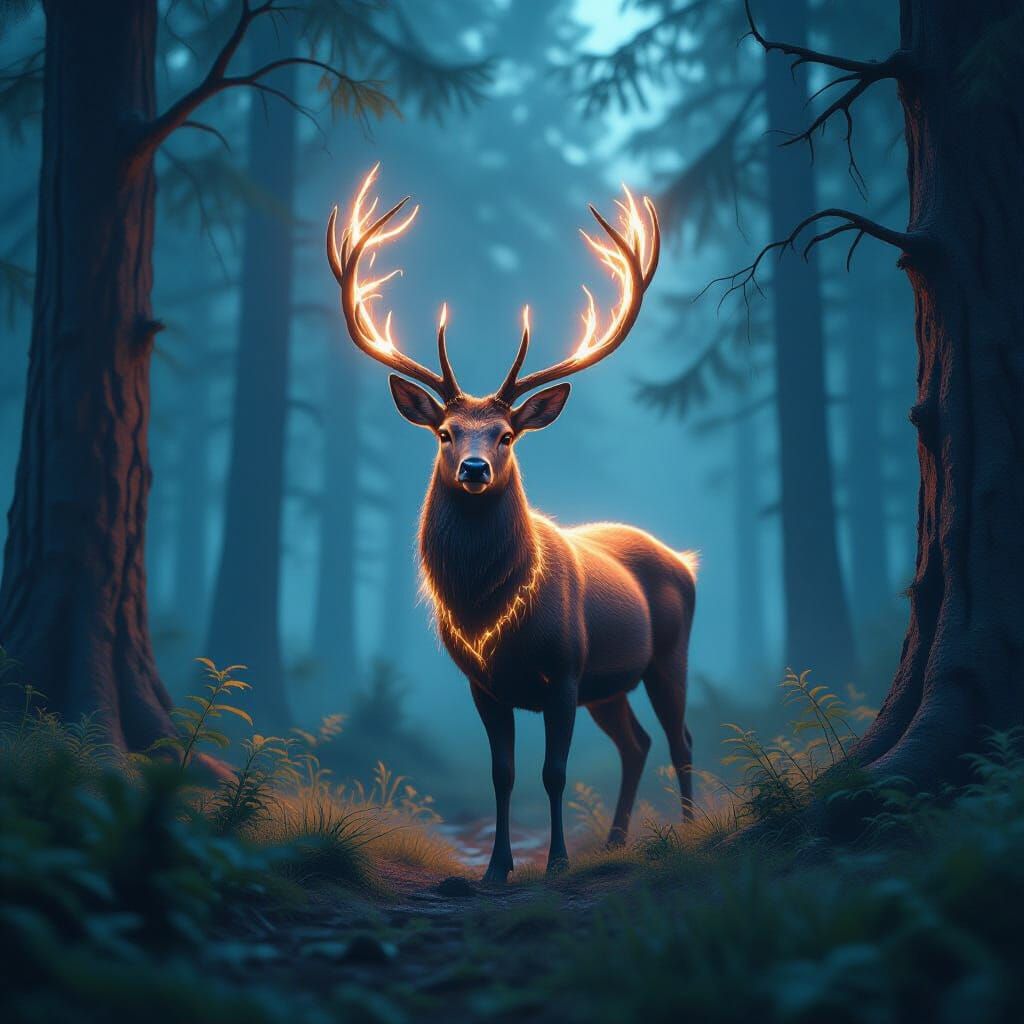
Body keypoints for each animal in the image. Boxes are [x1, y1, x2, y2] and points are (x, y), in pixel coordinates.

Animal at [326, 166, 697, 883]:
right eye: (445, 431)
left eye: (505, 434)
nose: (473, 468)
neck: (489, 610)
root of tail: (684, 560)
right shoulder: (483, 683)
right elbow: (503, 775)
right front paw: (496, 868)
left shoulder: (566, 669)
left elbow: (552, 773)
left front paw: (553, 864)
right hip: (611, 685)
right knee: (636, 742)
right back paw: (615, 842)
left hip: (668, 652)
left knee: (680, 737)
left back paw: (691, 832)